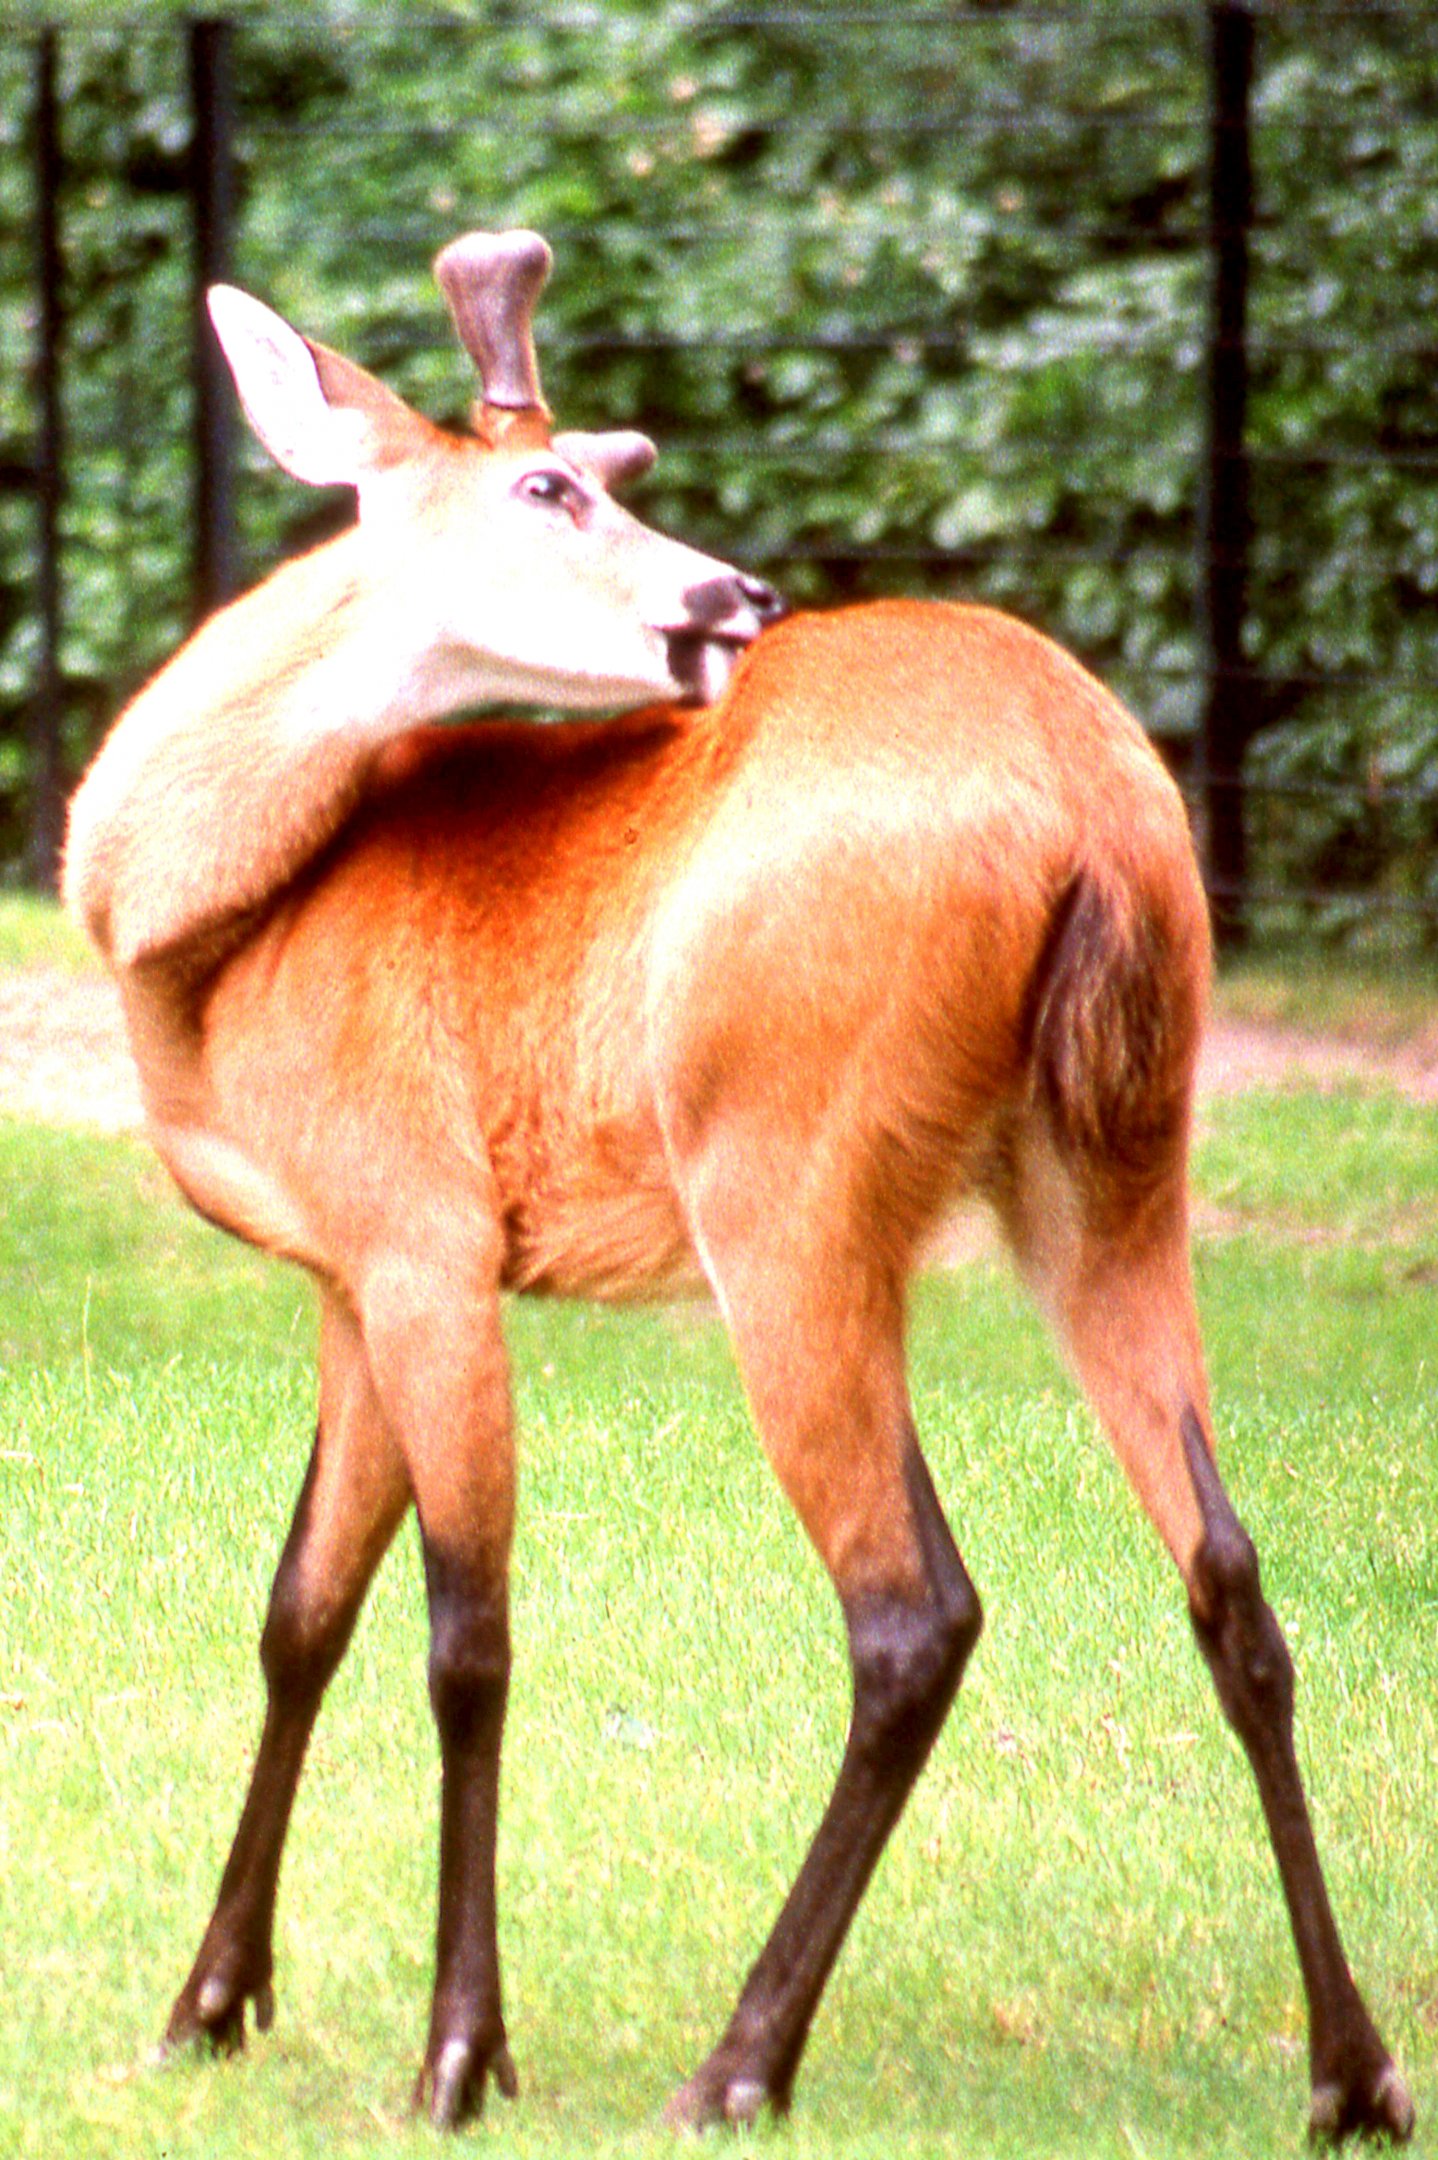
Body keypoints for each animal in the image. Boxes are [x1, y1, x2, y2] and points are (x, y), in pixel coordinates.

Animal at [61, 228, 1412, 2145]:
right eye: (548, 481)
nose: (730, 597)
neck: (204, 945)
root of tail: (1098, 814)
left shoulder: (422, 1229)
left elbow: (463, 1640)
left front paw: (459, 2055)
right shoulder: (345, 1267)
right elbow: (298, 1613)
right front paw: (209, 2005)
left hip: (786, 1177)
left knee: (912, 1609)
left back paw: (736, 2062)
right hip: (1112, 1168)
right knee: (1228, 1576)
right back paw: (1348, 2073)